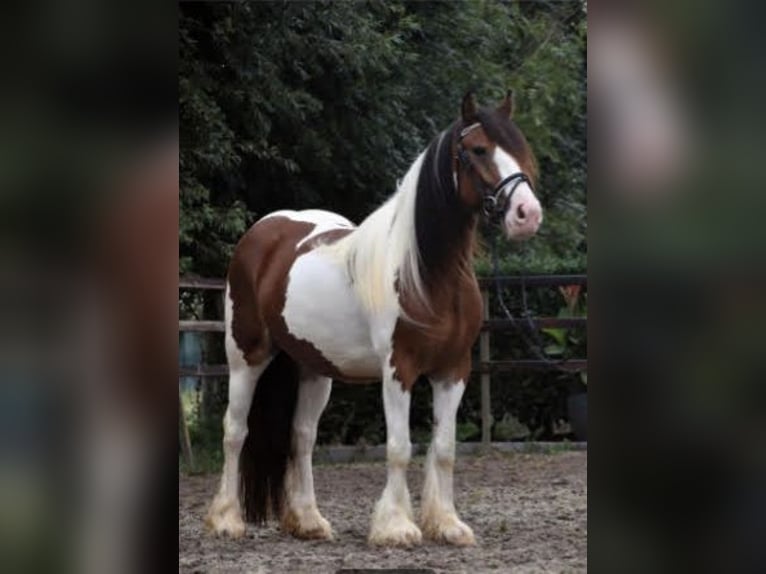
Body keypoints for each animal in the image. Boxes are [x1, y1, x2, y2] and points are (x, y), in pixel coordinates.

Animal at [201, 91, 544, 548]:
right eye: (477, 150)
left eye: (519, 148)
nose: (527, 213)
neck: (427, 274)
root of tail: (263, 233)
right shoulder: (399, 369)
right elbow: (399, 446)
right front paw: (396, 527)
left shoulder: (454, 371)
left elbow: (445, 449)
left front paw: (447, 524)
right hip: (246, 358)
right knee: (235, 431)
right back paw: (226, 519)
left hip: (314, 369)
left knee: (302, 437)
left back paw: (308, 521)